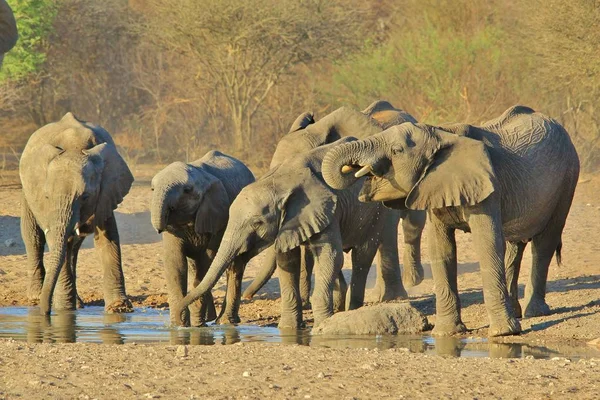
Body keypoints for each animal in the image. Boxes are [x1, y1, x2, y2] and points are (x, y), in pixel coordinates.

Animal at [19, 112, 134, 316]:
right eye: (47, 196)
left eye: (86, 196)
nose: (46, 313)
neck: (75, 145)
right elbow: (56, 241)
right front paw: (64, 308)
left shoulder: (105, 193)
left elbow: (108, 238)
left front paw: (119, 309)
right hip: (27, 192)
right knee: (34, 237)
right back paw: (36, 299)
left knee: (73, 246)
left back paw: (77, 304)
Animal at [151, 150, 254, 324]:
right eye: (152, 189)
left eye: (187, 190)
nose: (159, 229)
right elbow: (176, 262)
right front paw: (179, 325)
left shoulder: (217, 215)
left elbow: (207, 259)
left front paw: (192, 323)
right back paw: (210, 318)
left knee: (233, 266)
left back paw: (225, 321)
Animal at [173, 139, 398, 330]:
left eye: (257, 223)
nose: (181, 322)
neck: (280, 182)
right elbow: (287, 262)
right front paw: (290, 328)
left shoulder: (326, 209)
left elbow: (330, 256)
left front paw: (321, 326)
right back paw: (338, 312)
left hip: (377, 213)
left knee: (362, 256)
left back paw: (350, 312)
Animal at [322, 104, 580, 336]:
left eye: (396, 150)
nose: (357, 168)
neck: (441, 134)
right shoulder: (434, 186)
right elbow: (441, 249)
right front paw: (446, 333)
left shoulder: (486, 186)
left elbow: (486, 244)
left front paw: (502, 334)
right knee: (514, 246)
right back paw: (518, 311)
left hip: (568, 178)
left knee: (544, 244)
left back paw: (534, 312)